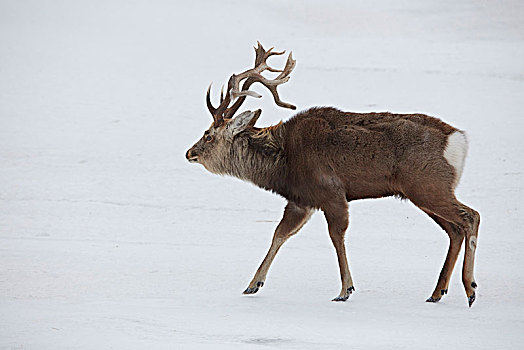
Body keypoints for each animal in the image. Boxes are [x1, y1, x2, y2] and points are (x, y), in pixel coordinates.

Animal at [186, 43, 482, 306]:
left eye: (208, 135)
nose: (190, 153)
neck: (284, 162)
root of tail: (459, 140)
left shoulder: (330, 191)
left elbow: (336, 236)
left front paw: (345, 290)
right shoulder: (301, 200)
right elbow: (279, 233)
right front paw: (252, 284)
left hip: (428, 185)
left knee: (471, 216)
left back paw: (470, 288)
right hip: (423, 191)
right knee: (455, 229)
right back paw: (437, 292)